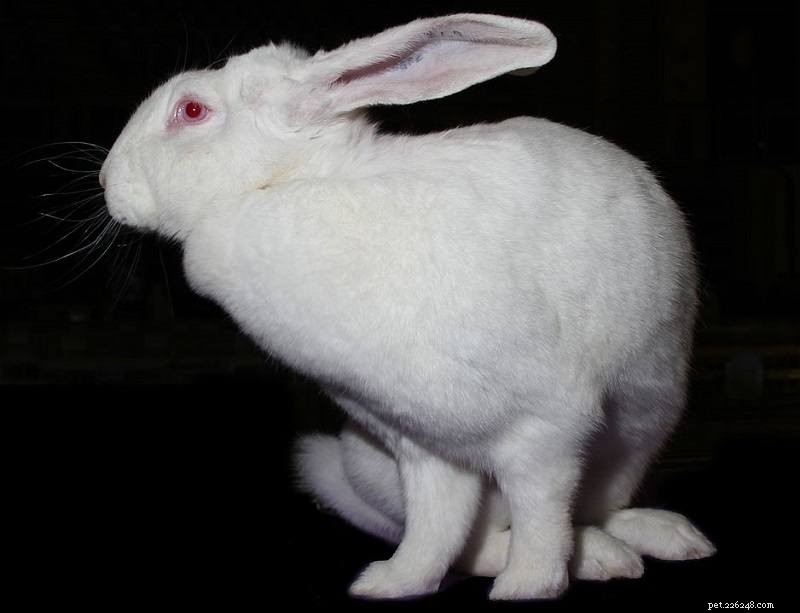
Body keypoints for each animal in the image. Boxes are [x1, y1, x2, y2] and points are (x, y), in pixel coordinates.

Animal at [100, 13, 715, 600]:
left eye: (191, 109)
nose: (107, 181)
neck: (285, 184)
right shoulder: (423, 447)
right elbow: (435, 530)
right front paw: (392, 584)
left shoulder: (545, 431)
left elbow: (540, 518)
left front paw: (528, 588)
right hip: (357, 464)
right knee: (478, 538)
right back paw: (611, 553)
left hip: (637, 436)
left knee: (586, 511)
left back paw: (657, 540)